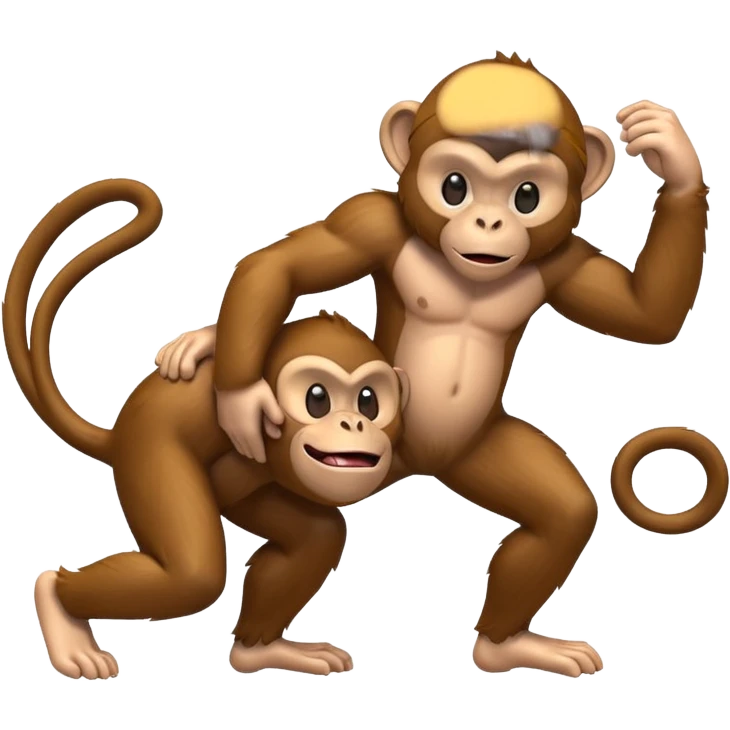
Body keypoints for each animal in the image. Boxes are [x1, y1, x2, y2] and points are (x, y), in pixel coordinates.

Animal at [2, 177, 410, 680]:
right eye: (317, 398)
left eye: (369, 401)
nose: (354, 423)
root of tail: (119, 434)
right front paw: (240, 400)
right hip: (149, 458)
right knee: (191, 575)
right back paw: (54, 600)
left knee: (316, 537)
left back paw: (260, 652)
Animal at [156, 52, 727, 679]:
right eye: (455, 186)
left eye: (527, 196)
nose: (489, 224)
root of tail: (421, 463)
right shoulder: (368, 218)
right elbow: (278, 266)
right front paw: (242, 402)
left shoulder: (566, 260)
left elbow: (647, 316)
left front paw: (671, 153)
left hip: (476, 453)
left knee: (564, 515)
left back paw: (503, 646)